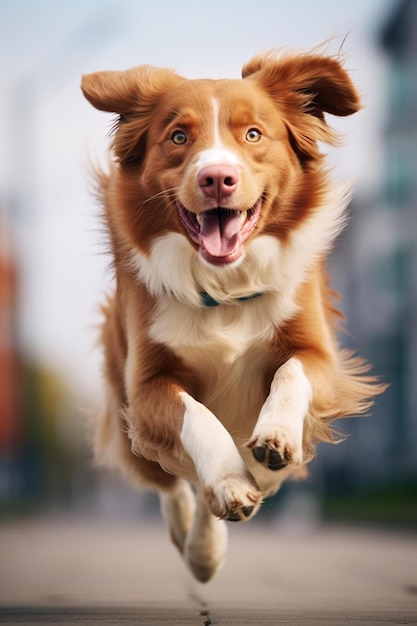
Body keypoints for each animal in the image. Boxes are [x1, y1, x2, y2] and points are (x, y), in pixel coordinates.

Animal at [81, 47, 384, 580]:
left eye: (254, 134)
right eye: (178, 137)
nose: (217, 178)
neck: (223, 289)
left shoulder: (319, 355)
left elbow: (290, 374)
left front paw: (276, 438)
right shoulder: (146, 388)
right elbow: (196, 417)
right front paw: (228, 481)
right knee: (171, 483)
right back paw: (199, 545)